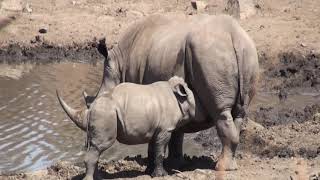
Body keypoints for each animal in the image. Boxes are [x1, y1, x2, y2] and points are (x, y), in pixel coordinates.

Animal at [57, 76, 196, 180]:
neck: (178, 98)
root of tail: (91, 109)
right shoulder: (165, 129)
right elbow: (160, 151)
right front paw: (161, 175)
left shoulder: (155, 129)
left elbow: (152, 150)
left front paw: (149, 172)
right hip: (106, 113)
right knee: (101, 146)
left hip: (103, 112)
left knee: (96, 147)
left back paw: (99, 178)